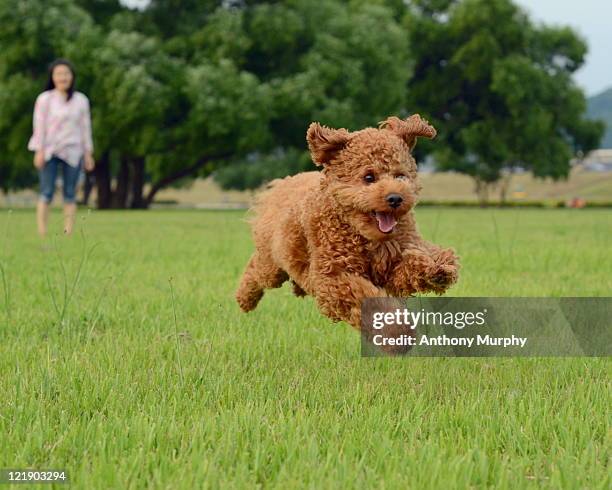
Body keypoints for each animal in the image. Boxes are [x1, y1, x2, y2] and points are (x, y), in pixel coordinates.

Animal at [234, 113, 460, 332]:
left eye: (400, 176)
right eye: (369, 177)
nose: (395, 198)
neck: (364, 235)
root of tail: (285, 182)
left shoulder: (395, 258)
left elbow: (411, 266)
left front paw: (436, 269)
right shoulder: (333, 276)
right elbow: (368, 302)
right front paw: (396, 332)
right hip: (271, 262)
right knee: (256, 269)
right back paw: (244, 300)